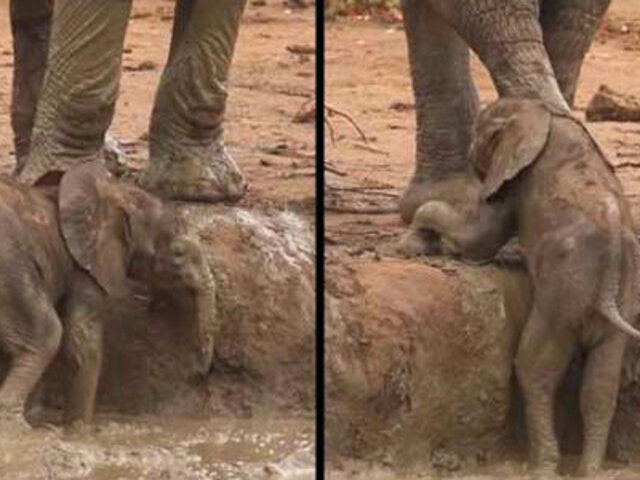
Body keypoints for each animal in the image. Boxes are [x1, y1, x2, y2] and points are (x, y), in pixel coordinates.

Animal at [0, 160, 218, 429]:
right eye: (178, 253)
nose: (200, 372)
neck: (113, 189)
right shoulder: (88, 263)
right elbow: (81, 339)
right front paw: (79, 430)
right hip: (9, 269)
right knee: (45, 335)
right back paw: (17, 427)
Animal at [400, 98, 640, 477]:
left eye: (479, 134)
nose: (470, 152)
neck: (542, 115)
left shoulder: (514, 183)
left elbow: (481, 237)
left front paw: (413, 240)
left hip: (561, 294)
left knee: (535, 367)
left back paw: (542, 467)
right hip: (621, 299)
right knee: (601, 383)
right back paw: (588, 470)